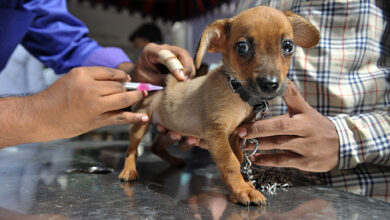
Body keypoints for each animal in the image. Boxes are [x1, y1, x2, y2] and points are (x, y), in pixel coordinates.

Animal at [119, 6, 320, 205]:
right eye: (242, 47)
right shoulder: (217, 133)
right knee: (132, 149)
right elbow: (231, 163)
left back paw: (175, 161)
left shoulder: (235, 136)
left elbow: (239, 160)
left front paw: (243, 186)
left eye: (288, 46)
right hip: (141, 122)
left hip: (172, 129)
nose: (270, 84)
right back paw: (129, 170)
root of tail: (163, 84)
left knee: (156, 146)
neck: (237, 93)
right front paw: (242, 190)